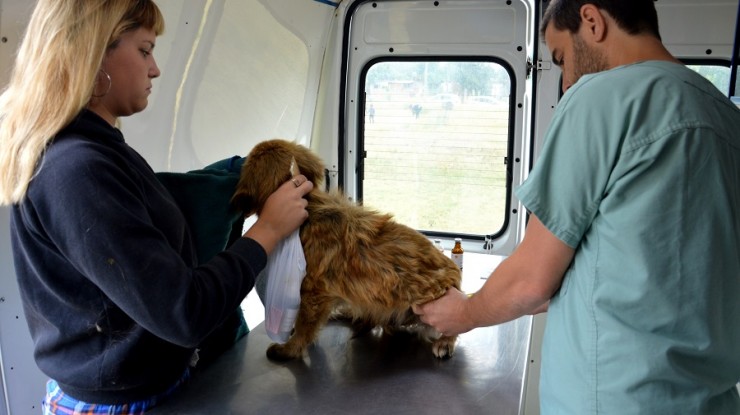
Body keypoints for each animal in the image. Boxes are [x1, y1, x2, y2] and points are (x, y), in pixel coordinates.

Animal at [233, 139, 462, 360]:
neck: (310, 205)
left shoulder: (313, 291)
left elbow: (304, 326)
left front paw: (290, 349)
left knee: (452, 327)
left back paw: (445, 342)